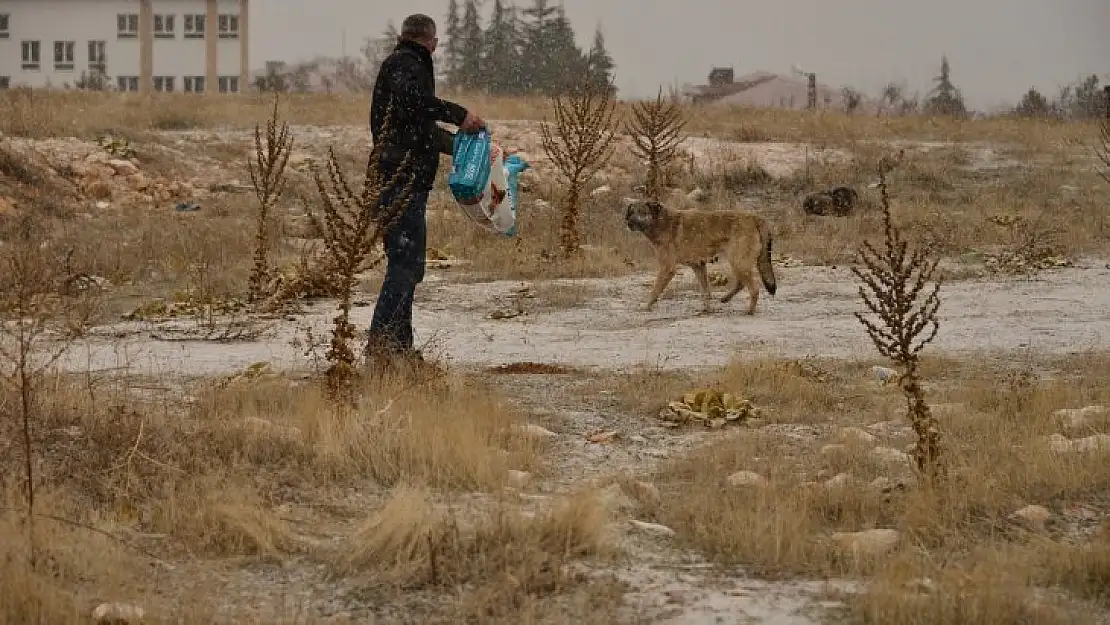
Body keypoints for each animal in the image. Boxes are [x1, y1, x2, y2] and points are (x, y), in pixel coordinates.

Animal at [626, 199, 781, 315]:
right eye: (632, 212)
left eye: (642, 212)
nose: (629, 223)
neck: (660, 221)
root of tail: (756, 217)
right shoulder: (698, 266)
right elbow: (705, 292)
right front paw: (707, 309)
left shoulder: (667, 268)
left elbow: (654, 290)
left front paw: (645, 306)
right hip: (738, 263)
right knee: (741, 283)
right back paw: (725, 299)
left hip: (738, 262)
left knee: (754, 289)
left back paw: (749, 311)